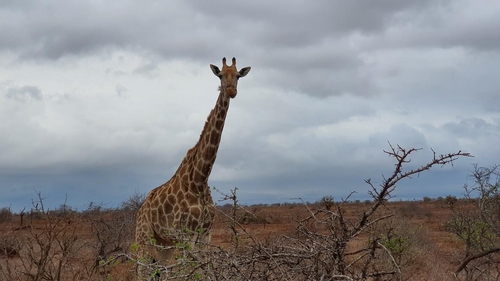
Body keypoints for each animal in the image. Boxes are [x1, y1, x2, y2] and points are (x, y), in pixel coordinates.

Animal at [135, 57, 250, 278]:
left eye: (238, 76)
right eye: (220, 75)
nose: (231, 90)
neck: (200, 177)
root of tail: (141, 209)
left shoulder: (205, 234)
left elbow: (204, 271)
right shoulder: (184, 234)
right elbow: (188, 271)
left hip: (164, 244)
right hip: (144, 237)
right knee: (141, 271)